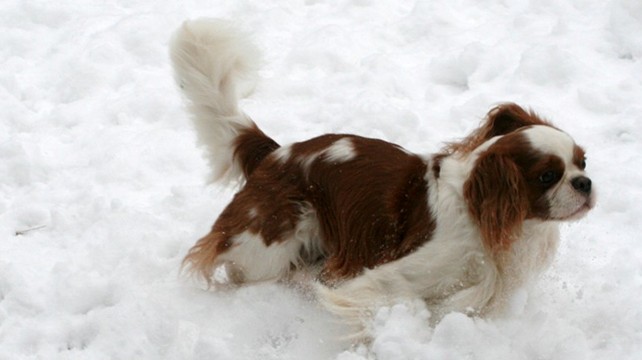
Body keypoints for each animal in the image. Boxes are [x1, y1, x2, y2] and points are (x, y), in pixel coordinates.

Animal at [169, 18, 596, 334]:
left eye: (583, 162)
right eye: (548, 176)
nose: (584, 183)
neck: (484, 217)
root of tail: (273, 154)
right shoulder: (388, 279)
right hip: (269, 246)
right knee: (252, 273)